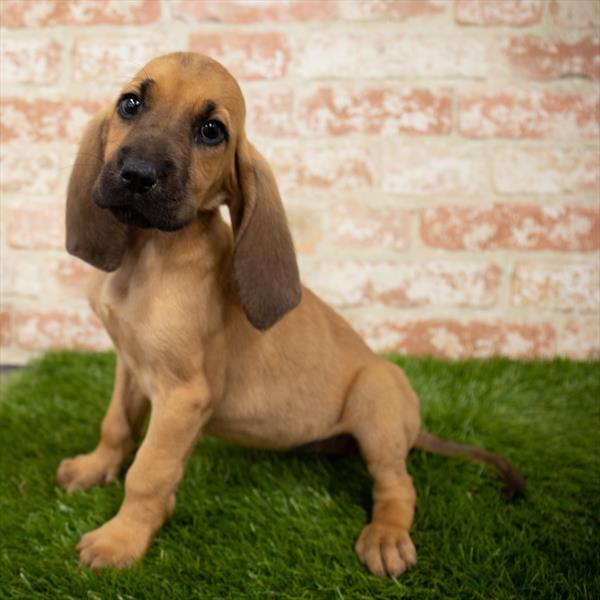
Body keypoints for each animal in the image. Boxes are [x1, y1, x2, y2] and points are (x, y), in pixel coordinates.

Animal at [58, 51, 524, 576]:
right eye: (130, 103)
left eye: (212, 131)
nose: (137, 175)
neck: (146, 258)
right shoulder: (130, 364)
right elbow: (116, 425)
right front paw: (94, 468)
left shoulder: (183, 396)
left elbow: (149, 473)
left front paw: (121, 539)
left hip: (377, 396)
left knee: (398, 484)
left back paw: (386, 536)